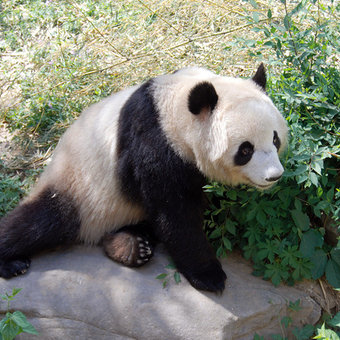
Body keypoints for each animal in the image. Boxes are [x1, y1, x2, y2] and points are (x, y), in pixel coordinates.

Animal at [0, 65, 286, 294]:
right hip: (76, 185)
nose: (274, 175)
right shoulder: (152, 141)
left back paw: (129, 246)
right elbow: (174, 212)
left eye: (275, 139)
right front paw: (209, 276)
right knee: (41, 222)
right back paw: (12, 263)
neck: (172, 109)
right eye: (245, 150)